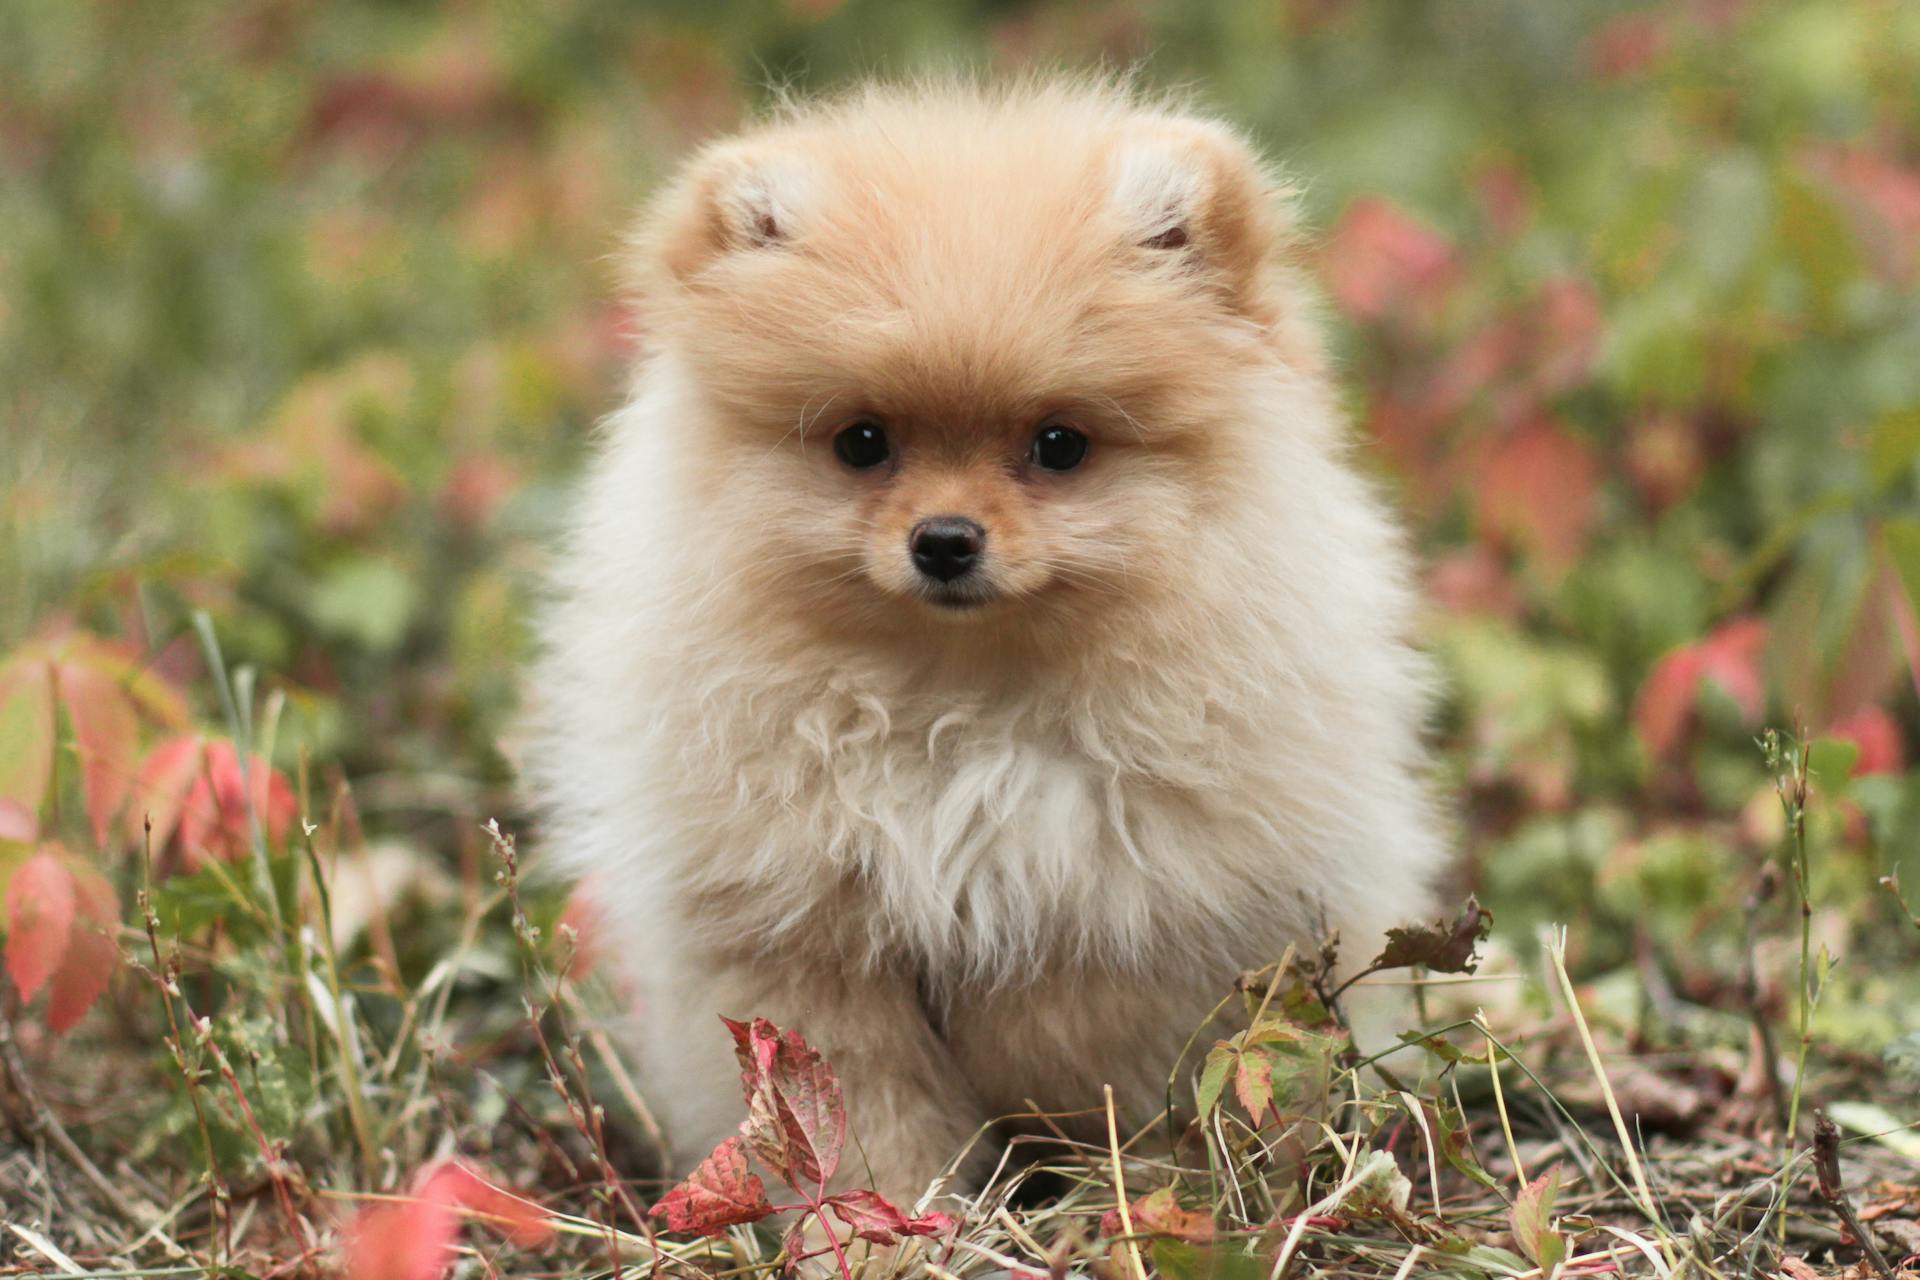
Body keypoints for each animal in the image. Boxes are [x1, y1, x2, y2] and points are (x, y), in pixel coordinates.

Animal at [533, 77, 1443, 1205]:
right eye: (862, 442)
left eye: (1059, 445)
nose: (945, 539)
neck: (960, 707)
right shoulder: (809, 943)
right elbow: (861, 1116)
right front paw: (885, 1218)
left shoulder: (1126, 915)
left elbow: (1079, 1048)